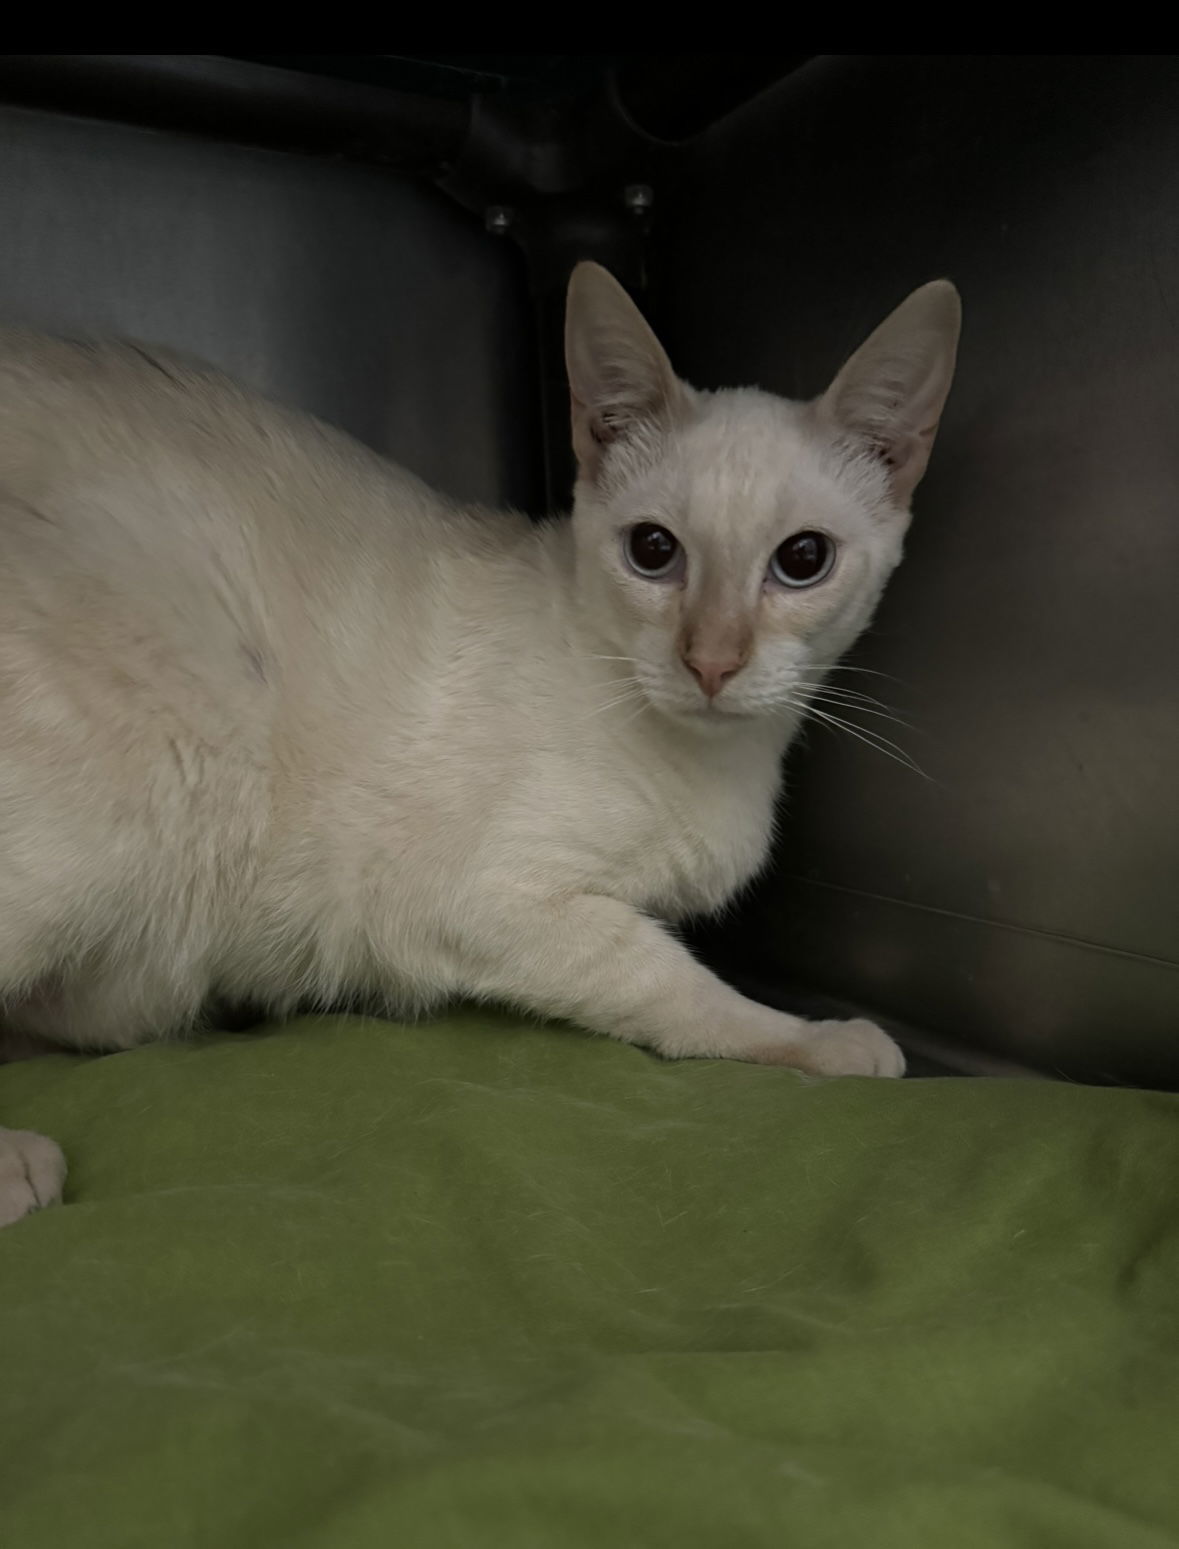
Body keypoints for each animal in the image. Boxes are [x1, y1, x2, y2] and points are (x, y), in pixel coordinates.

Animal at [0, 269, 960, 1233]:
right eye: (653, 550)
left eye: (802, 560)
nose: (712, 661)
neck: (714, 758)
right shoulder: (486, 899)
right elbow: (671, 983)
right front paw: (817, 1041)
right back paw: (17, 1164)